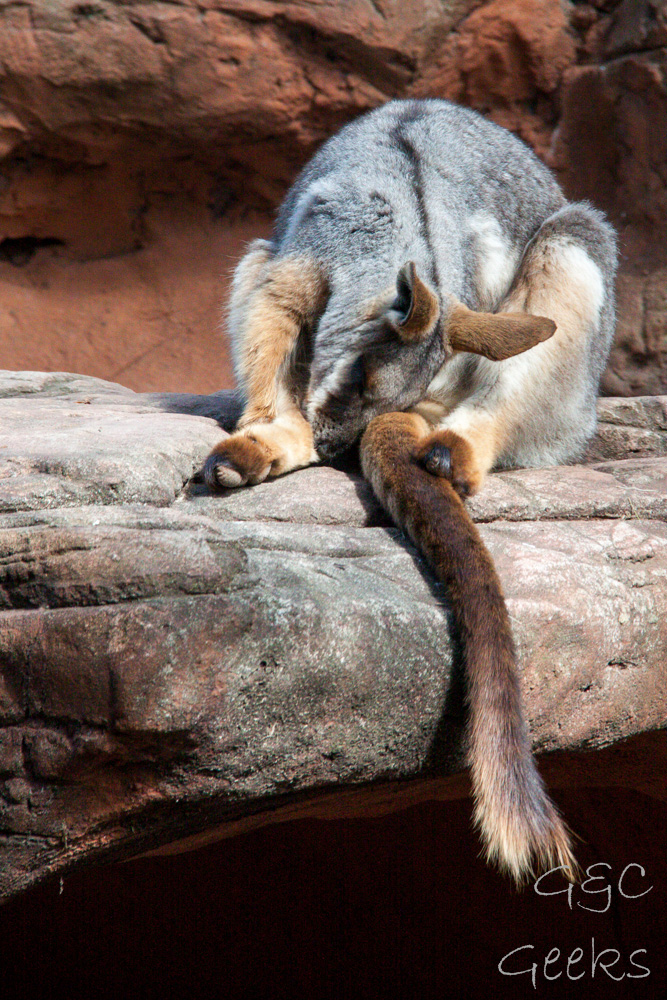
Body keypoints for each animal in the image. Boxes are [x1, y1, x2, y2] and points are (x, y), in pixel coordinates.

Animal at [202, 99, 617, 884]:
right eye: (362, 376)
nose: (338, 447)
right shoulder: (295, 261)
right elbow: (274, 332)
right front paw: (280, 431)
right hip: (257, 258)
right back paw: (265, 449)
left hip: (571, 289)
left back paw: (450, 452)